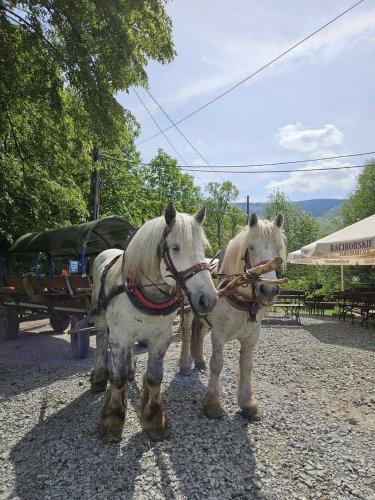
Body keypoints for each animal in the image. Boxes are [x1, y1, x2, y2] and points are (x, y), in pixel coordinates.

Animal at [90, 203, 217, 442]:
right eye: (175, 248)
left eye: (203, 248)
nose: (209, 299)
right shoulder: (118, 337)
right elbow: (117, 378)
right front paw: (113, 419)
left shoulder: (161, 338)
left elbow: (155, 377)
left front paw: (155, 419)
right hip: (100, 316)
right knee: (101, 342)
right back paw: (100, 377)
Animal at [179, 213, 284, 420]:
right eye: (251, 247)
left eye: (278, 248)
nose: (269, 289)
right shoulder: (219, 335)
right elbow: (217, 364)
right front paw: (212, 404)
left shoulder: (251, 336)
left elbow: (247, 365)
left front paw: (248, 403)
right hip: (187, 311)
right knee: (187, 334)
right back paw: (185, 364)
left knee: (199, 334)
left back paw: (199, 360)